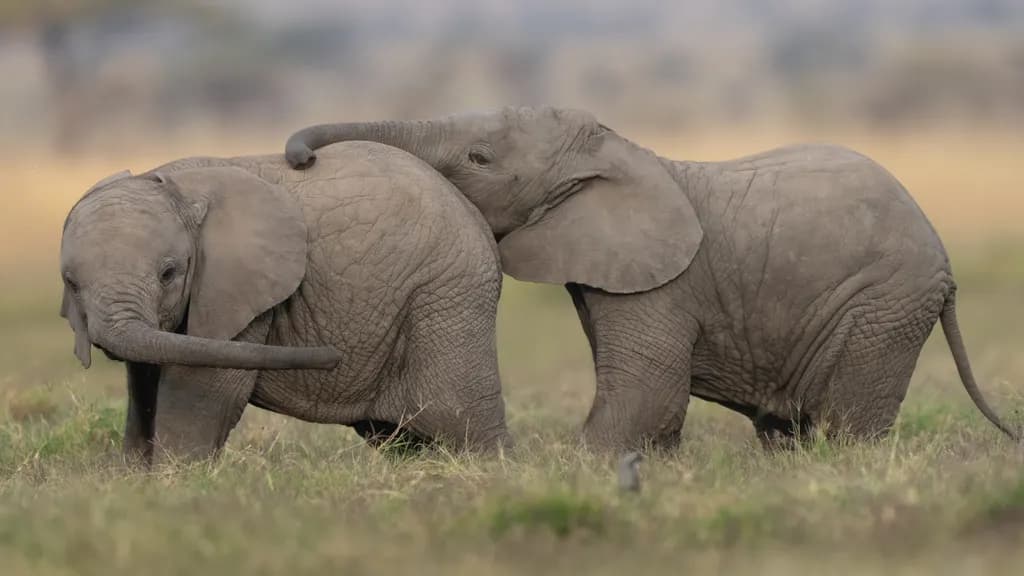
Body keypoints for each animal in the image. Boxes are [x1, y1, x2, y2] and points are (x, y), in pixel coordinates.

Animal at [59, 142, 509, 465]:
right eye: (71, 283)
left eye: (169, 273)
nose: (332, 354)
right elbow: (144, 386)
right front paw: (136, 478)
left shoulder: (238, 288)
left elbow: (202, 388)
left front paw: (173, 482)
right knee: (402, 437)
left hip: (447, 297)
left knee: (460, 419)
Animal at [284, 106, 1018, 451]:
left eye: (479, 157)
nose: (299, 159)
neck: (620, 151)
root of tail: (944, 260)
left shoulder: (663, 285)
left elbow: (646, 398)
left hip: (883, 305)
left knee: (846, 423)